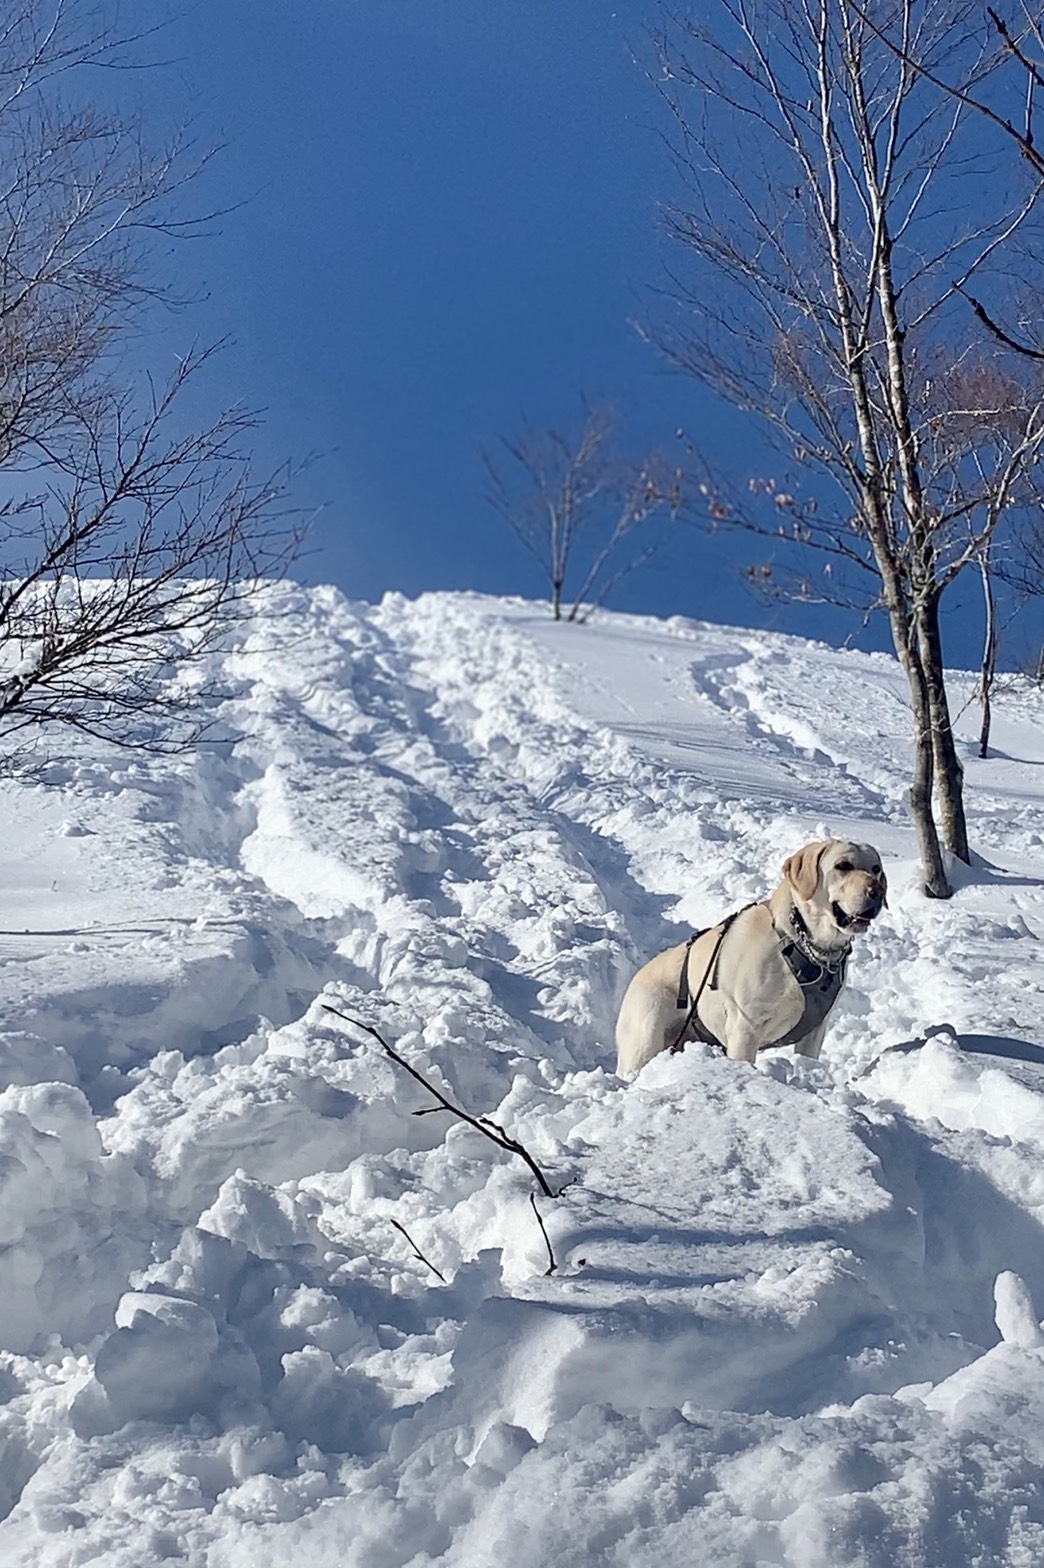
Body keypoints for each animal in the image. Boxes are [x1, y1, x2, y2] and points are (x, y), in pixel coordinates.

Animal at [614, 846, 884, 1078]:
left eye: (876, 869)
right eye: (843, 865)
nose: (877, 892)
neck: (800, 943)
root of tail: (635, 979)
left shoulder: (816, 1030)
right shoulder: (746, 1026)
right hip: (646, 1036)